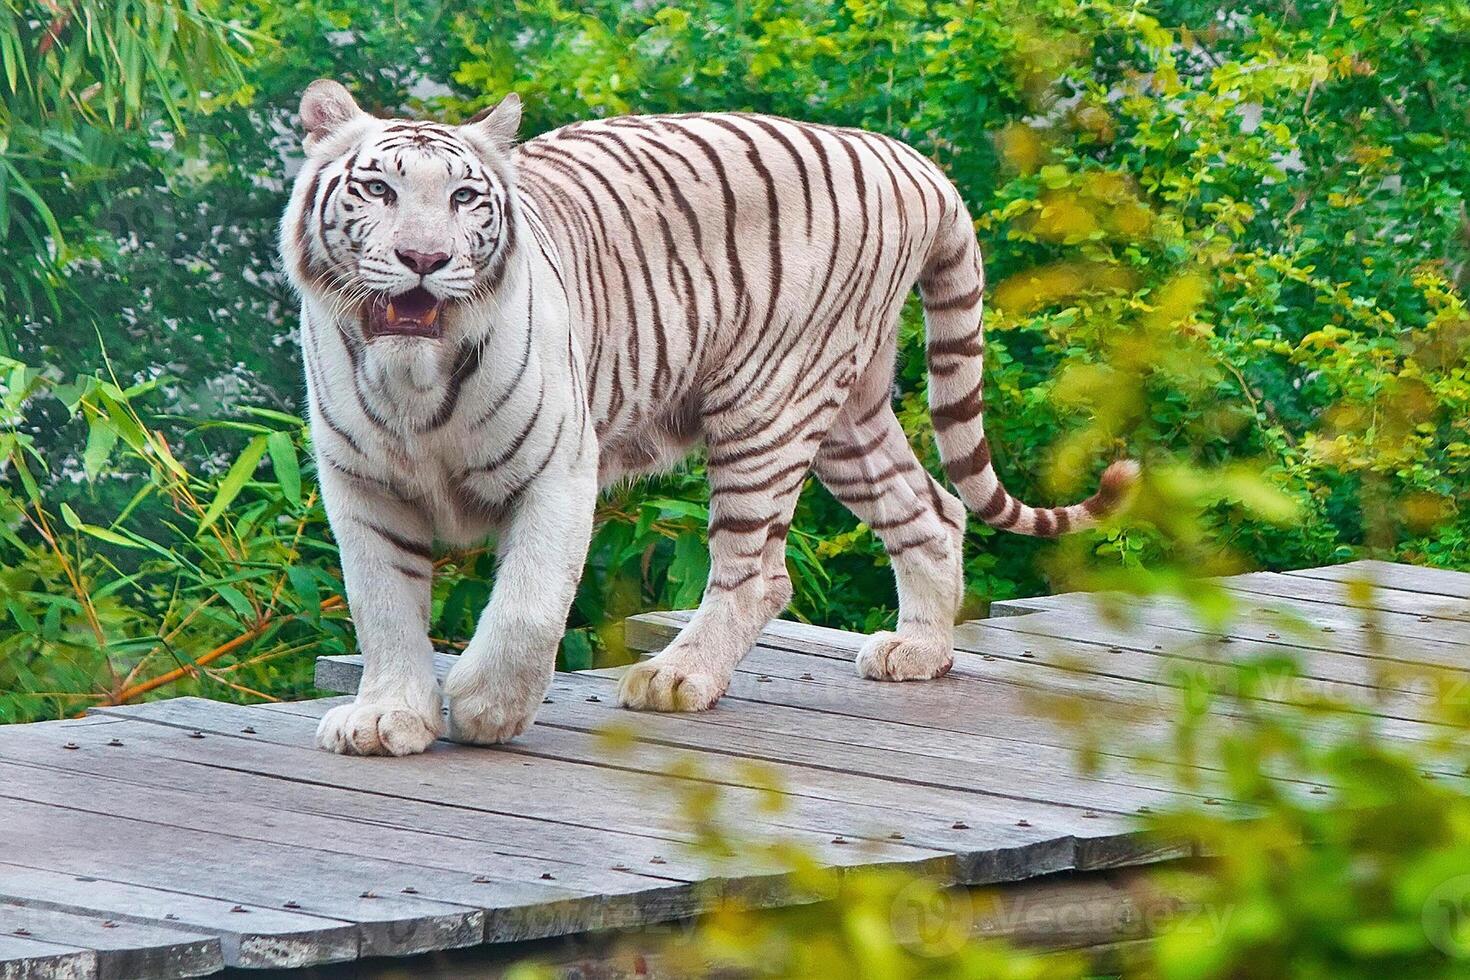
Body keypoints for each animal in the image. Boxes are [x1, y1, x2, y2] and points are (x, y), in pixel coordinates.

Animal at [277, 82, 1134, 758]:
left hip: (769, 404)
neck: (413, 380)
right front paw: (386, 718)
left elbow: (526, 604)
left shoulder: (559, 469)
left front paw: (488, 709)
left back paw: (676, 675)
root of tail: (910, 160)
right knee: (933, 510)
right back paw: (918, 651)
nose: (424, 260)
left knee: (760, 572)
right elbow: (382, 605)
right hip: (847, 414)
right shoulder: (362, 485)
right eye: (378, 191)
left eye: (463, 198)